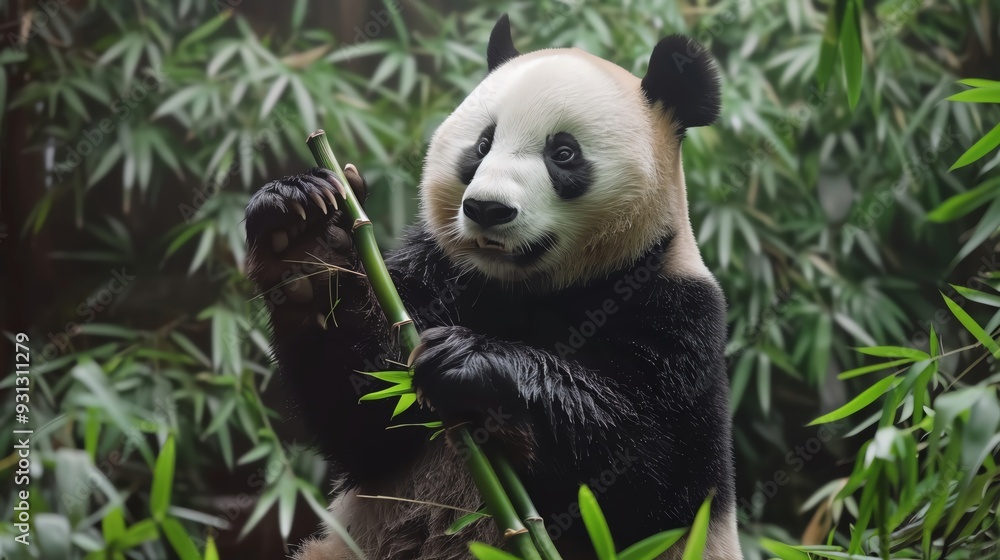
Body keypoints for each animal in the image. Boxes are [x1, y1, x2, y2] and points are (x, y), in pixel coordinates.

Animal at [245, 14, 740, 560]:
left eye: (563, 153)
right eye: (482, 146)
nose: (487, 208)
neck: (530, 288)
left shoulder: (676, 314)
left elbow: (653, 482)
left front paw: (474, 362)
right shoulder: (441, 270)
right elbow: (366, 410)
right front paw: (304, 238)